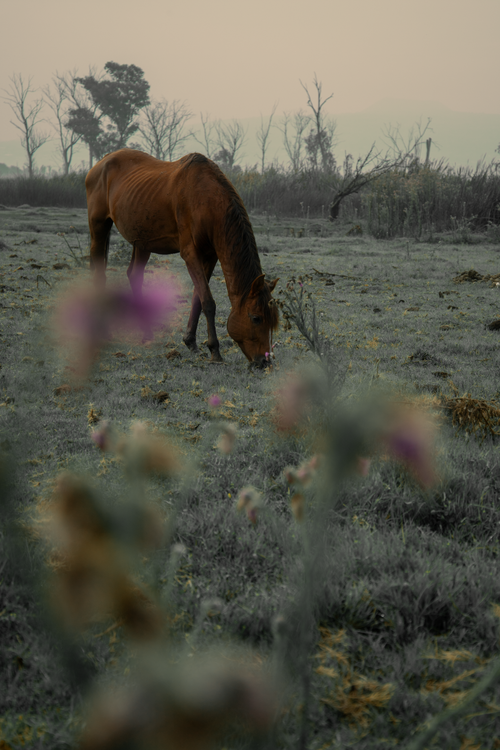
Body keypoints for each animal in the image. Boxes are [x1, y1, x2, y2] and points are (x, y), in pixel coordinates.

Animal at [85, 149, 279, 367]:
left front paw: (191, 342)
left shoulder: (210, 255)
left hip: (142, 242)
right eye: (256, 318)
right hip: (98, 227)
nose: (264, 362)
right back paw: (103, 331)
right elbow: (208, 301)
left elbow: (197, 298)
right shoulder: (190, 253)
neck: (206, 199)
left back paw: (146, 333)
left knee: (134, 275)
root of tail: (100, 163)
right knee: (99, 275)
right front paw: (215, 350)